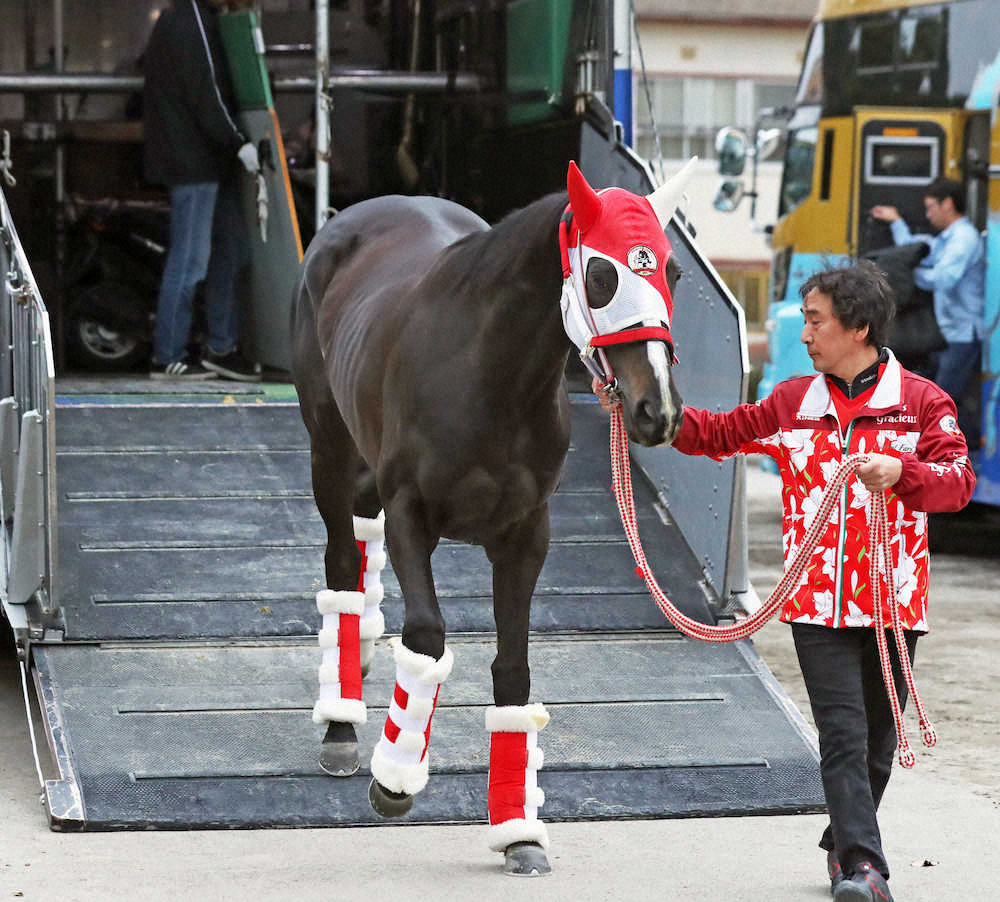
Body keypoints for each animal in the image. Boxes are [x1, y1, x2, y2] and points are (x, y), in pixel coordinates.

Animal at [292, 159, 694, 875]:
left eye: (672, 273)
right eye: (601, 273)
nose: (658, 411)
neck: (488, 377)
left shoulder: (525, 534)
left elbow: (513, 669)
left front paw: (518, 833)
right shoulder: (411, 514)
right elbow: (427, 636)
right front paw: (395, 779)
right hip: (329, 448)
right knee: (341, 561)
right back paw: (341, 722)